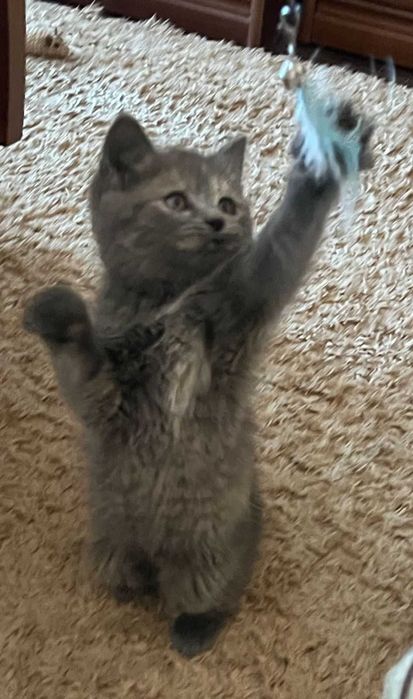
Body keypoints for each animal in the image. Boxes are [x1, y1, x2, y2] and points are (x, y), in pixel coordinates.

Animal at [23, 101, 373, 657]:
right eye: (175, 200)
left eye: (229, 203)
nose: (217, 221)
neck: (168, 302)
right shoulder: (107, 395)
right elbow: (83, 368)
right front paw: (58, 316)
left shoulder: (244, 303)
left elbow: (283, 244)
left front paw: (321, 165)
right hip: (109, 546)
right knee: (126, 577)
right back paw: (130, 588)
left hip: (208, 559)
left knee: (212, 597)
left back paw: (193, 634)